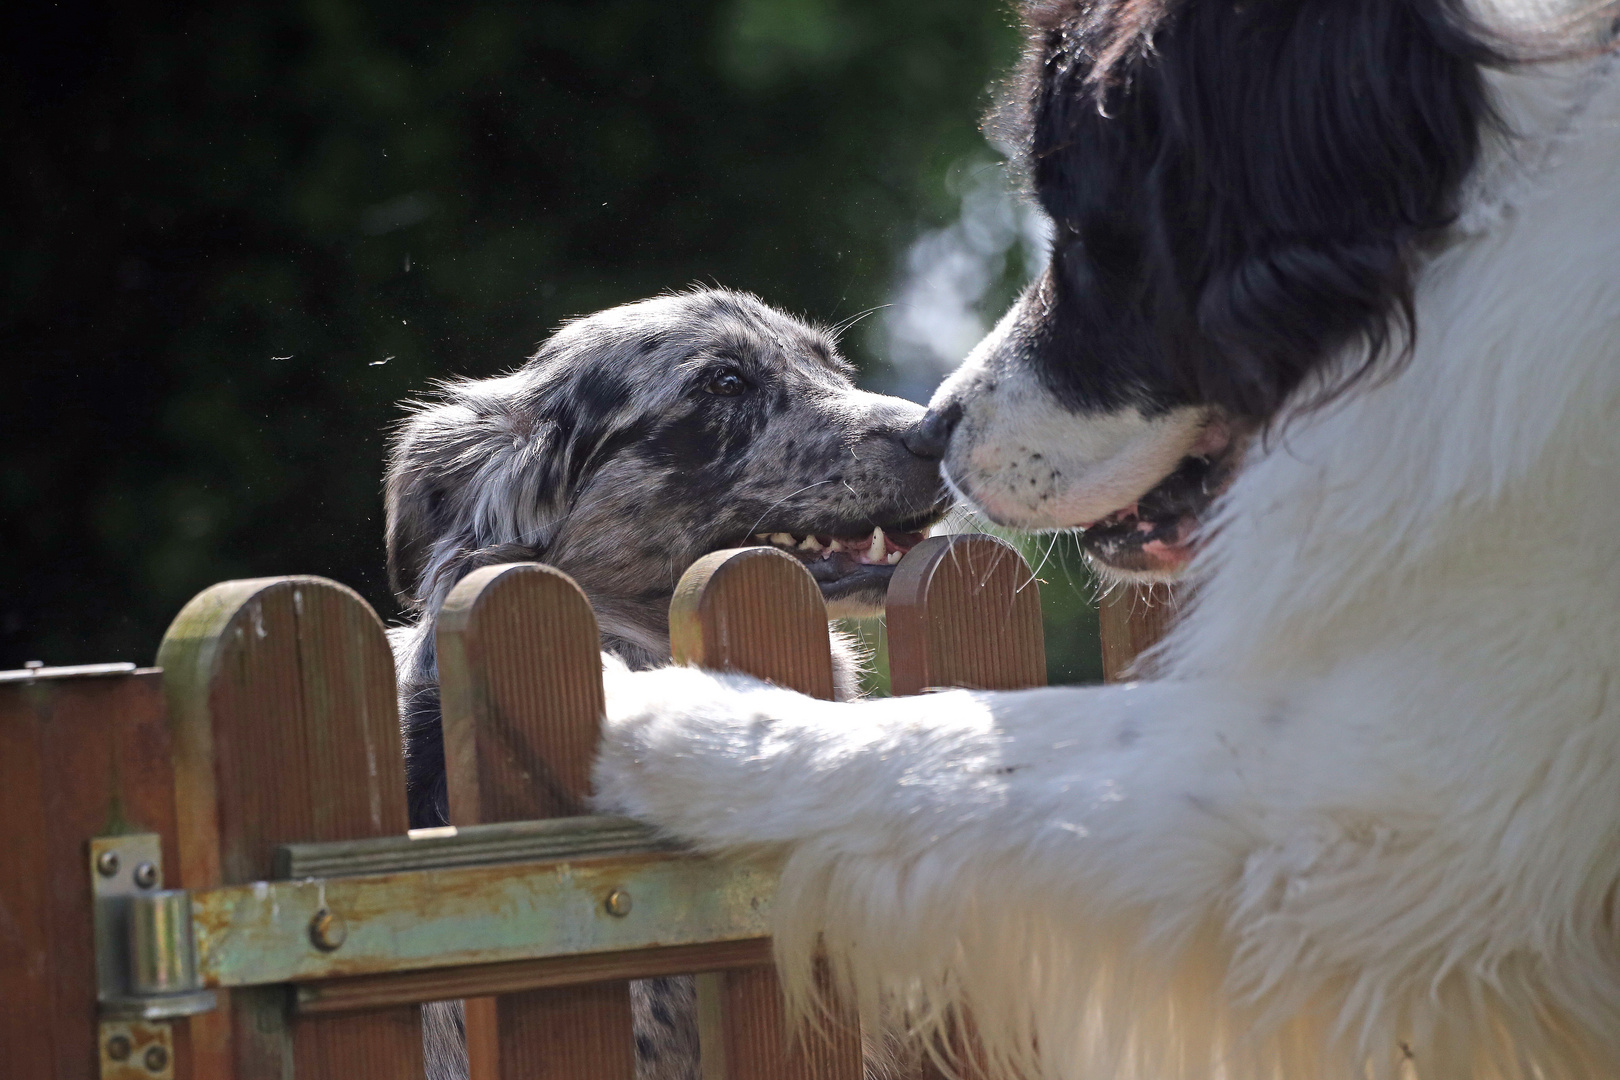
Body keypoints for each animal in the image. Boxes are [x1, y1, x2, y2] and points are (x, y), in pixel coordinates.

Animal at [596, 2, 1620, 1080]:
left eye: (1084, 233)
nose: (931, 428)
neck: (1495, 227)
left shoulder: (1408, 803)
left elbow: (955, 744)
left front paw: (675, 718)